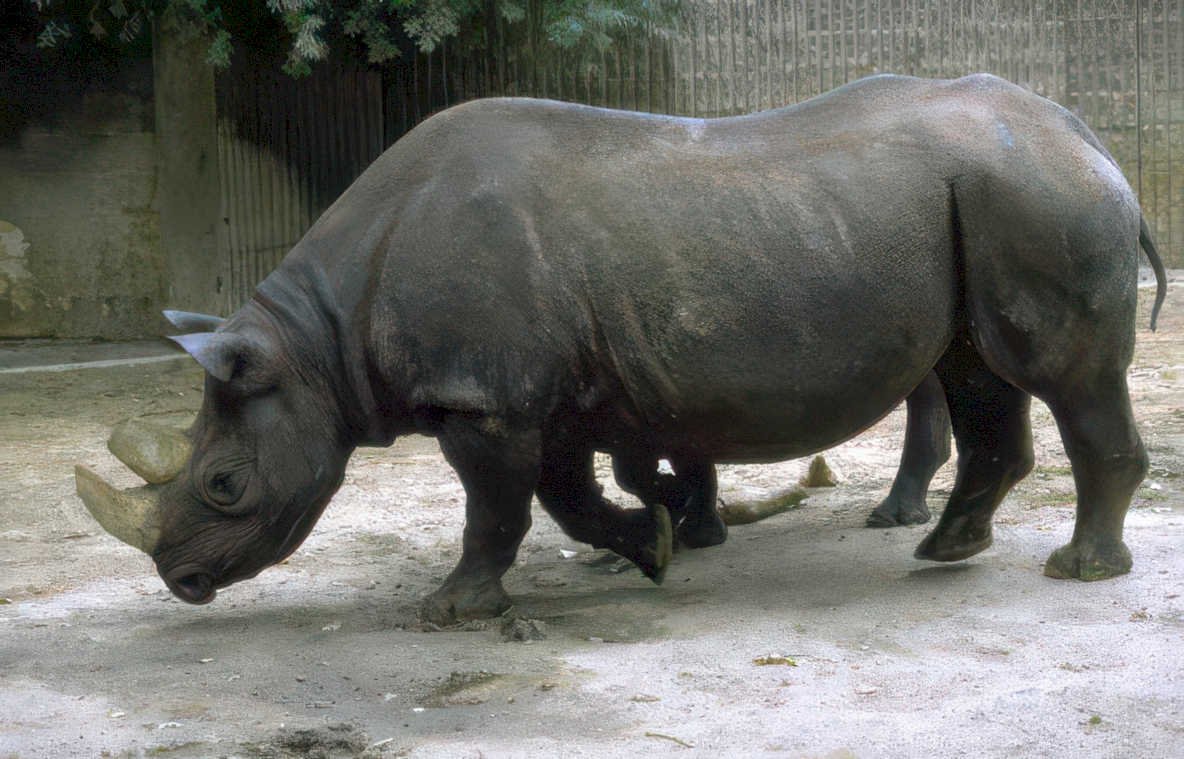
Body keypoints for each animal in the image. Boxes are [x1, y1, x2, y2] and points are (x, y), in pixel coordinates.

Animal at [76, 73, 1167, 626]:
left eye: (223, 484)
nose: (180, 581)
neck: (317, 344)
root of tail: (1089, 140)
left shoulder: (484, 398)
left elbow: (497, 507)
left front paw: (451, 609)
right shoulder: (536, 393)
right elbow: (563, 495)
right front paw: (649, 548)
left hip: (1031, 194)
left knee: (1061, 377)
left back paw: (1078, 571)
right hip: (992, 197)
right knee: (979, 373)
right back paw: (946, 548)